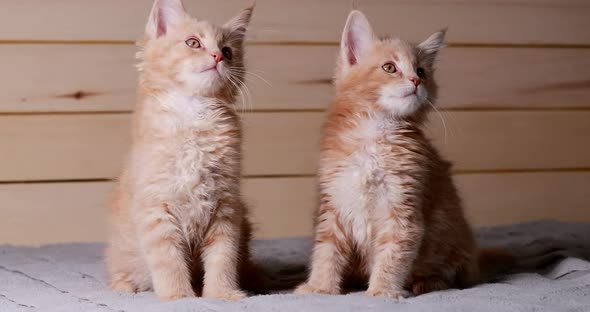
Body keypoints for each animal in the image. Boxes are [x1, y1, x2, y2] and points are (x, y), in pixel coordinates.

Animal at [106, 0, 256, 302]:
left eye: (227, 51)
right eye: (193, 42)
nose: (217, 57)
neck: (194, 114)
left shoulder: (226, 207)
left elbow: (223, 258)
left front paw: (222, 293)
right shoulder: (156, 208)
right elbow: (168, 261)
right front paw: (179, 296)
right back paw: (125, 287)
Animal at [296, 11, 512, 298]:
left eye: (421, 71)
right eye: (390, 67)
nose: (416, 81)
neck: (375, 134)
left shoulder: (402, 208)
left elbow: (393, 255)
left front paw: (382, 291)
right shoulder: (334, 203)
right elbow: (326, 251)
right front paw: (320, 287)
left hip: (452, 244)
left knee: (452, 276)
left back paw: (427, 283)